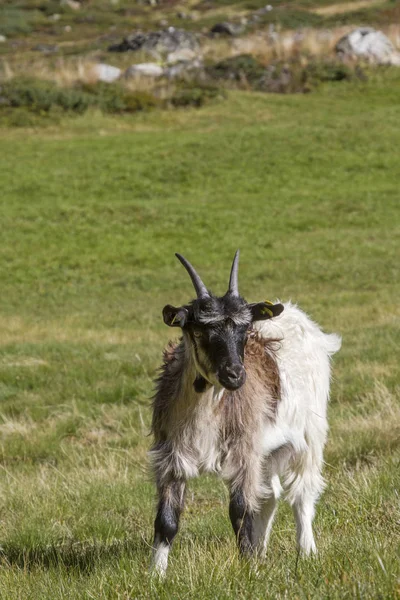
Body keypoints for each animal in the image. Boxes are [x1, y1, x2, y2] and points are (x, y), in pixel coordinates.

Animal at [150, 250, 340, 576]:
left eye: (244, 330)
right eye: (199, 329)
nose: (236, 375)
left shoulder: (244, 449)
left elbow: (240, 512)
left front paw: (248, 568)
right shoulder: (171, 454)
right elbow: (167, 519)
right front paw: (156, 575)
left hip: (310, 433)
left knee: (302, 493)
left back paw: (306, 552)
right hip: (270, 450)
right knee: (269, 495)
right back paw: (262, 550)